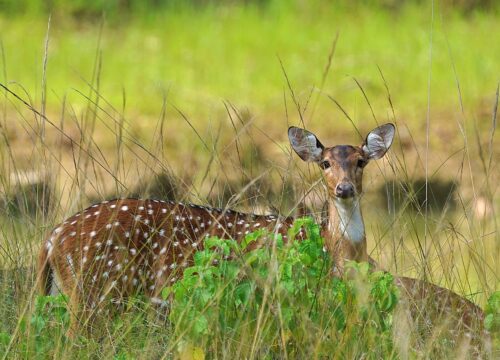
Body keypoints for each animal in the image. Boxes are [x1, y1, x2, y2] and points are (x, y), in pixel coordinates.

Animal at [38, 123, 488, 352]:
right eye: (325, 163)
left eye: (361, 161)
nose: (344, 189)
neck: (340, 252)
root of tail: (53, 238)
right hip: (94, 292)